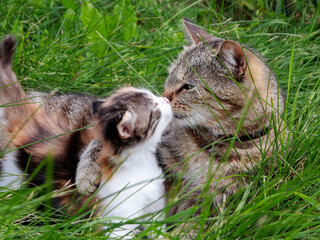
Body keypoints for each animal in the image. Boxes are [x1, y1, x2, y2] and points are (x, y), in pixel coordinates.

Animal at [0, 36, 172, 238]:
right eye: (155, 110)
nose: (167, 99)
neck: (141, 161)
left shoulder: (154, 207)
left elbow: (158, 229)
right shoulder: (119, 218)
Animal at [75, 17, 284, 224]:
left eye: (189, 86)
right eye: (169, 77)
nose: (164, 97)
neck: (210, 142)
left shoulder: (213, 197)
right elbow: (102, 141)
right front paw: (87, 171)